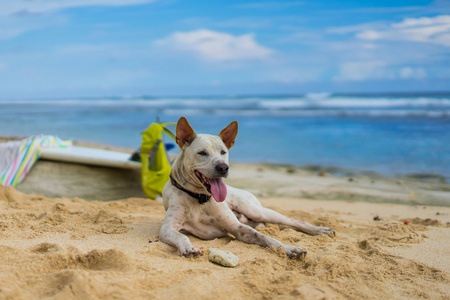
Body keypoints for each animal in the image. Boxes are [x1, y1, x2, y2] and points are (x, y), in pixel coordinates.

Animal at [159, 117, 334, 258]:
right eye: (202, 153)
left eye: (223, 152)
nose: (223, 167)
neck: (199, 198)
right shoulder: (167, 228)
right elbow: (181, 236)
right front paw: (189, 247)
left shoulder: (237, 227)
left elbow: (265, 237)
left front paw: (289, 248)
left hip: (256, 210)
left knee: (294, 220)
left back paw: (320, 230)